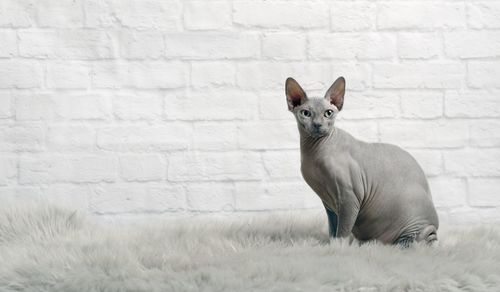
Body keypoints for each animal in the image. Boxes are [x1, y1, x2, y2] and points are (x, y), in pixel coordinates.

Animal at [288, 77, 440, 246]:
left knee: (420, 240)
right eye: (306, 113)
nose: (317, 124)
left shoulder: (349, 197)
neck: (314, 151)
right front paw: (330, 245)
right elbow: (333, 229)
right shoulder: (329, 204)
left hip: (413, 217)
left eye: (328, 113)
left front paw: (338, 247)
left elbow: (342, 231)